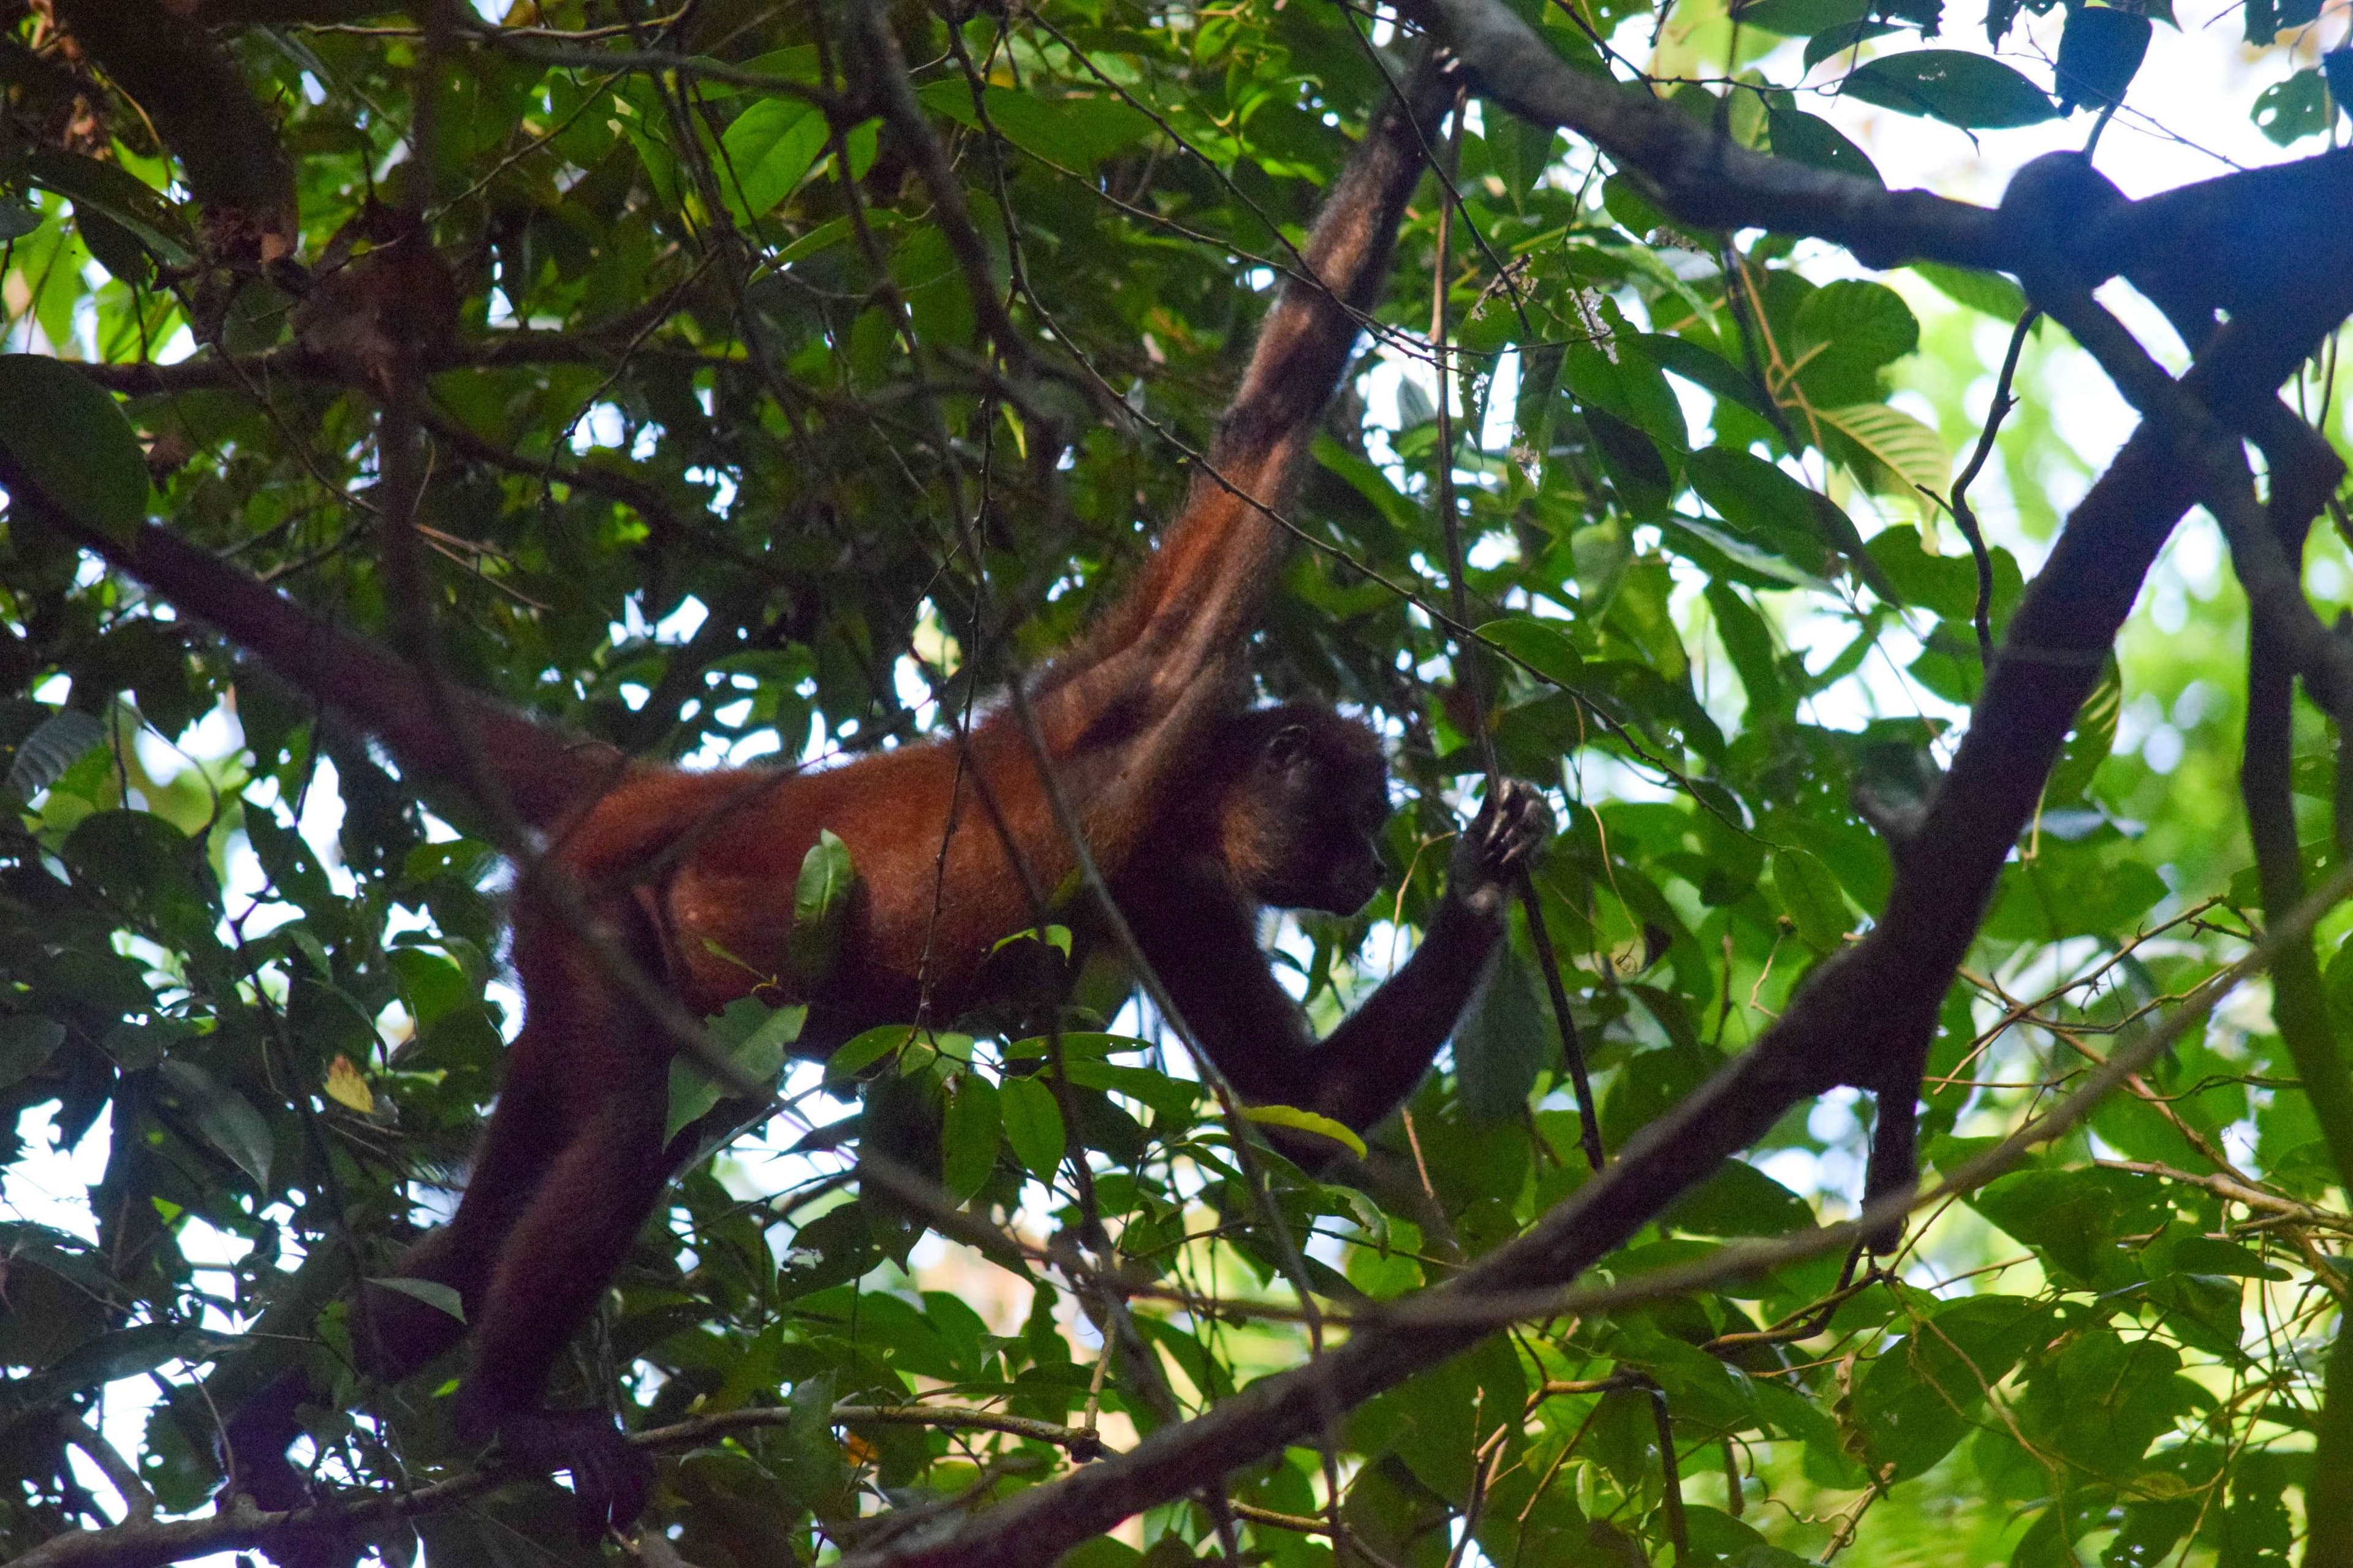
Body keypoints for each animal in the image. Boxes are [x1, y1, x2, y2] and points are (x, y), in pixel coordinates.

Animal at [6, 47, 1557, 1553]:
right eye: (1353, 818)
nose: (1364, 870)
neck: (1183, 810)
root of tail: (658, 793)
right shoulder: (1155, 709)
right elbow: (1262, 442)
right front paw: (1416, 102)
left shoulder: (1171, 881)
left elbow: (1302, 1105)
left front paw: (1492, 873)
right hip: (611, 924)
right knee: (628, 1136)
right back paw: (504, 1415)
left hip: (557, 966)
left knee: (491, 1221)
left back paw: (257, 1431)